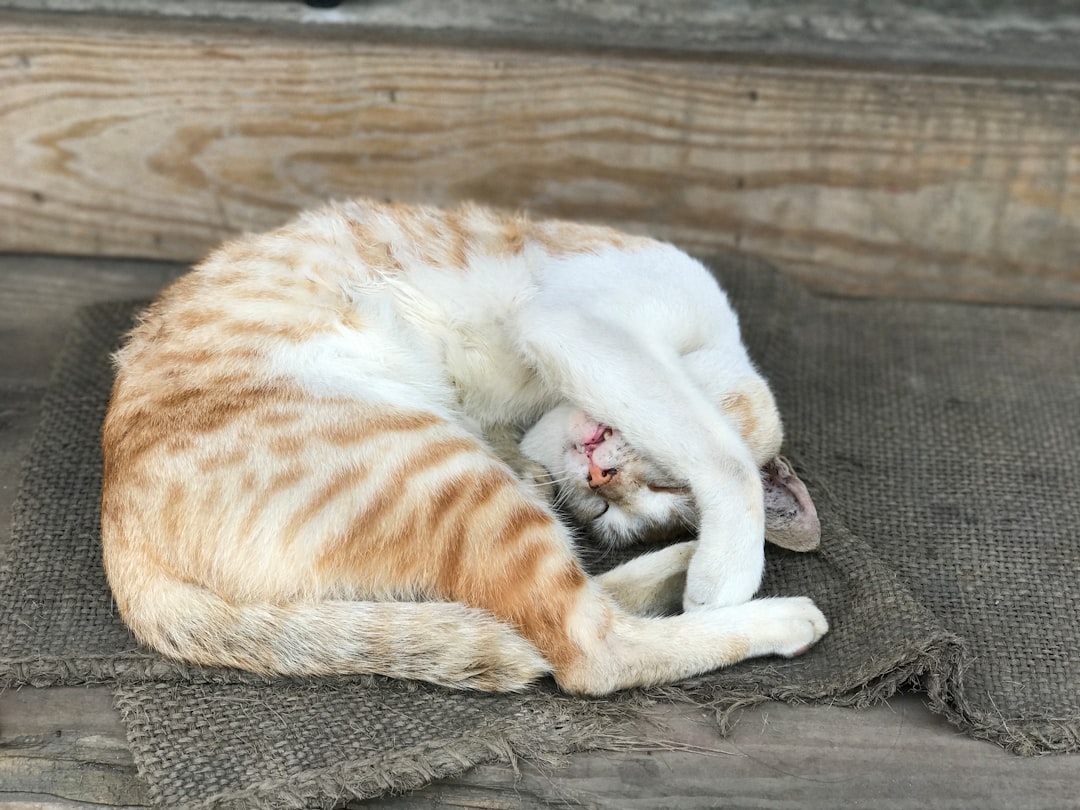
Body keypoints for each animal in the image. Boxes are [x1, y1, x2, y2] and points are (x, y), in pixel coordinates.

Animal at [101, 198, 825, 699]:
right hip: (444, 471)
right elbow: (725, 454)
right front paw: (728, 571)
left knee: (559, 612)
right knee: (586, 651)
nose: (600, 477)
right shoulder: (581, 325)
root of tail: (119, 539)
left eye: (618, 513)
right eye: (663, 482)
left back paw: (682, 565)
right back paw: (773, 614)